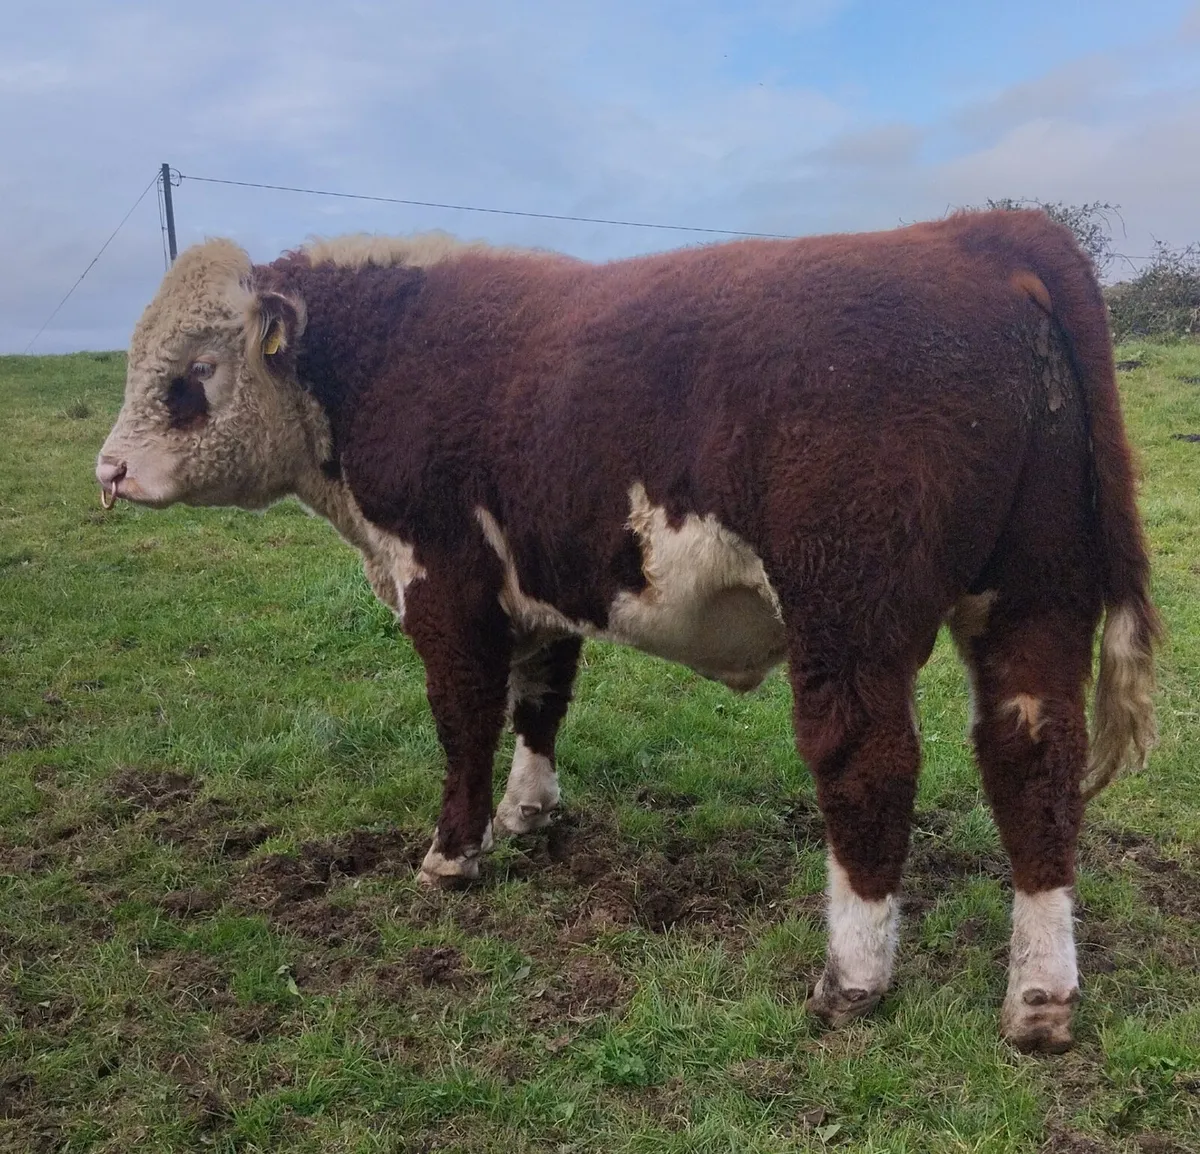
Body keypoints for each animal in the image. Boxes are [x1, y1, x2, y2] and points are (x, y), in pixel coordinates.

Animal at [96, 211, 1158, 1053]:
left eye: (193, 374)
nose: (107, 471)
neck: (381, 355)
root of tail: (974, 234)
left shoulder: (444, 577)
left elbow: (463, 716)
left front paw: (453, 852)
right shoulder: (539, 583)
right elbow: (542, 699)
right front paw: (528, 813)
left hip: (850, 602)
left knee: (869, 760)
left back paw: (852, 977)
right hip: (1037, 589)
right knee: (1033, 756)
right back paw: (1039, 997)